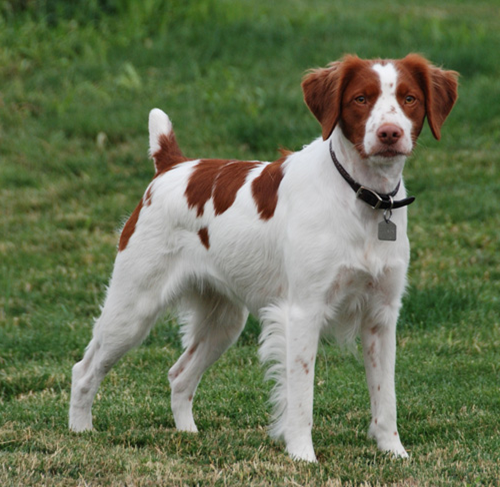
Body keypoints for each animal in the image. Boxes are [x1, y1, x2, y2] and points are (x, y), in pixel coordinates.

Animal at [69, 55, 458, 464]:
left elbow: (386, 398)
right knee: (85, 369)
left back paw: (188, 433)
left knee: (179, 374)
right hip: (133, 309)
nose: (389, 134)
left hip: (224, 321)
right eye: (361, 98)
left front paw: (394, 452)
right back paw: (81, 431)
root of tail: (172, 166)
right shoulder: (303, 312)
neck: (363, 197)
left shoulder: (381, 317)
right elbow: (301, 396)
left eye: (409, 98)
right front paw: (302, 455)